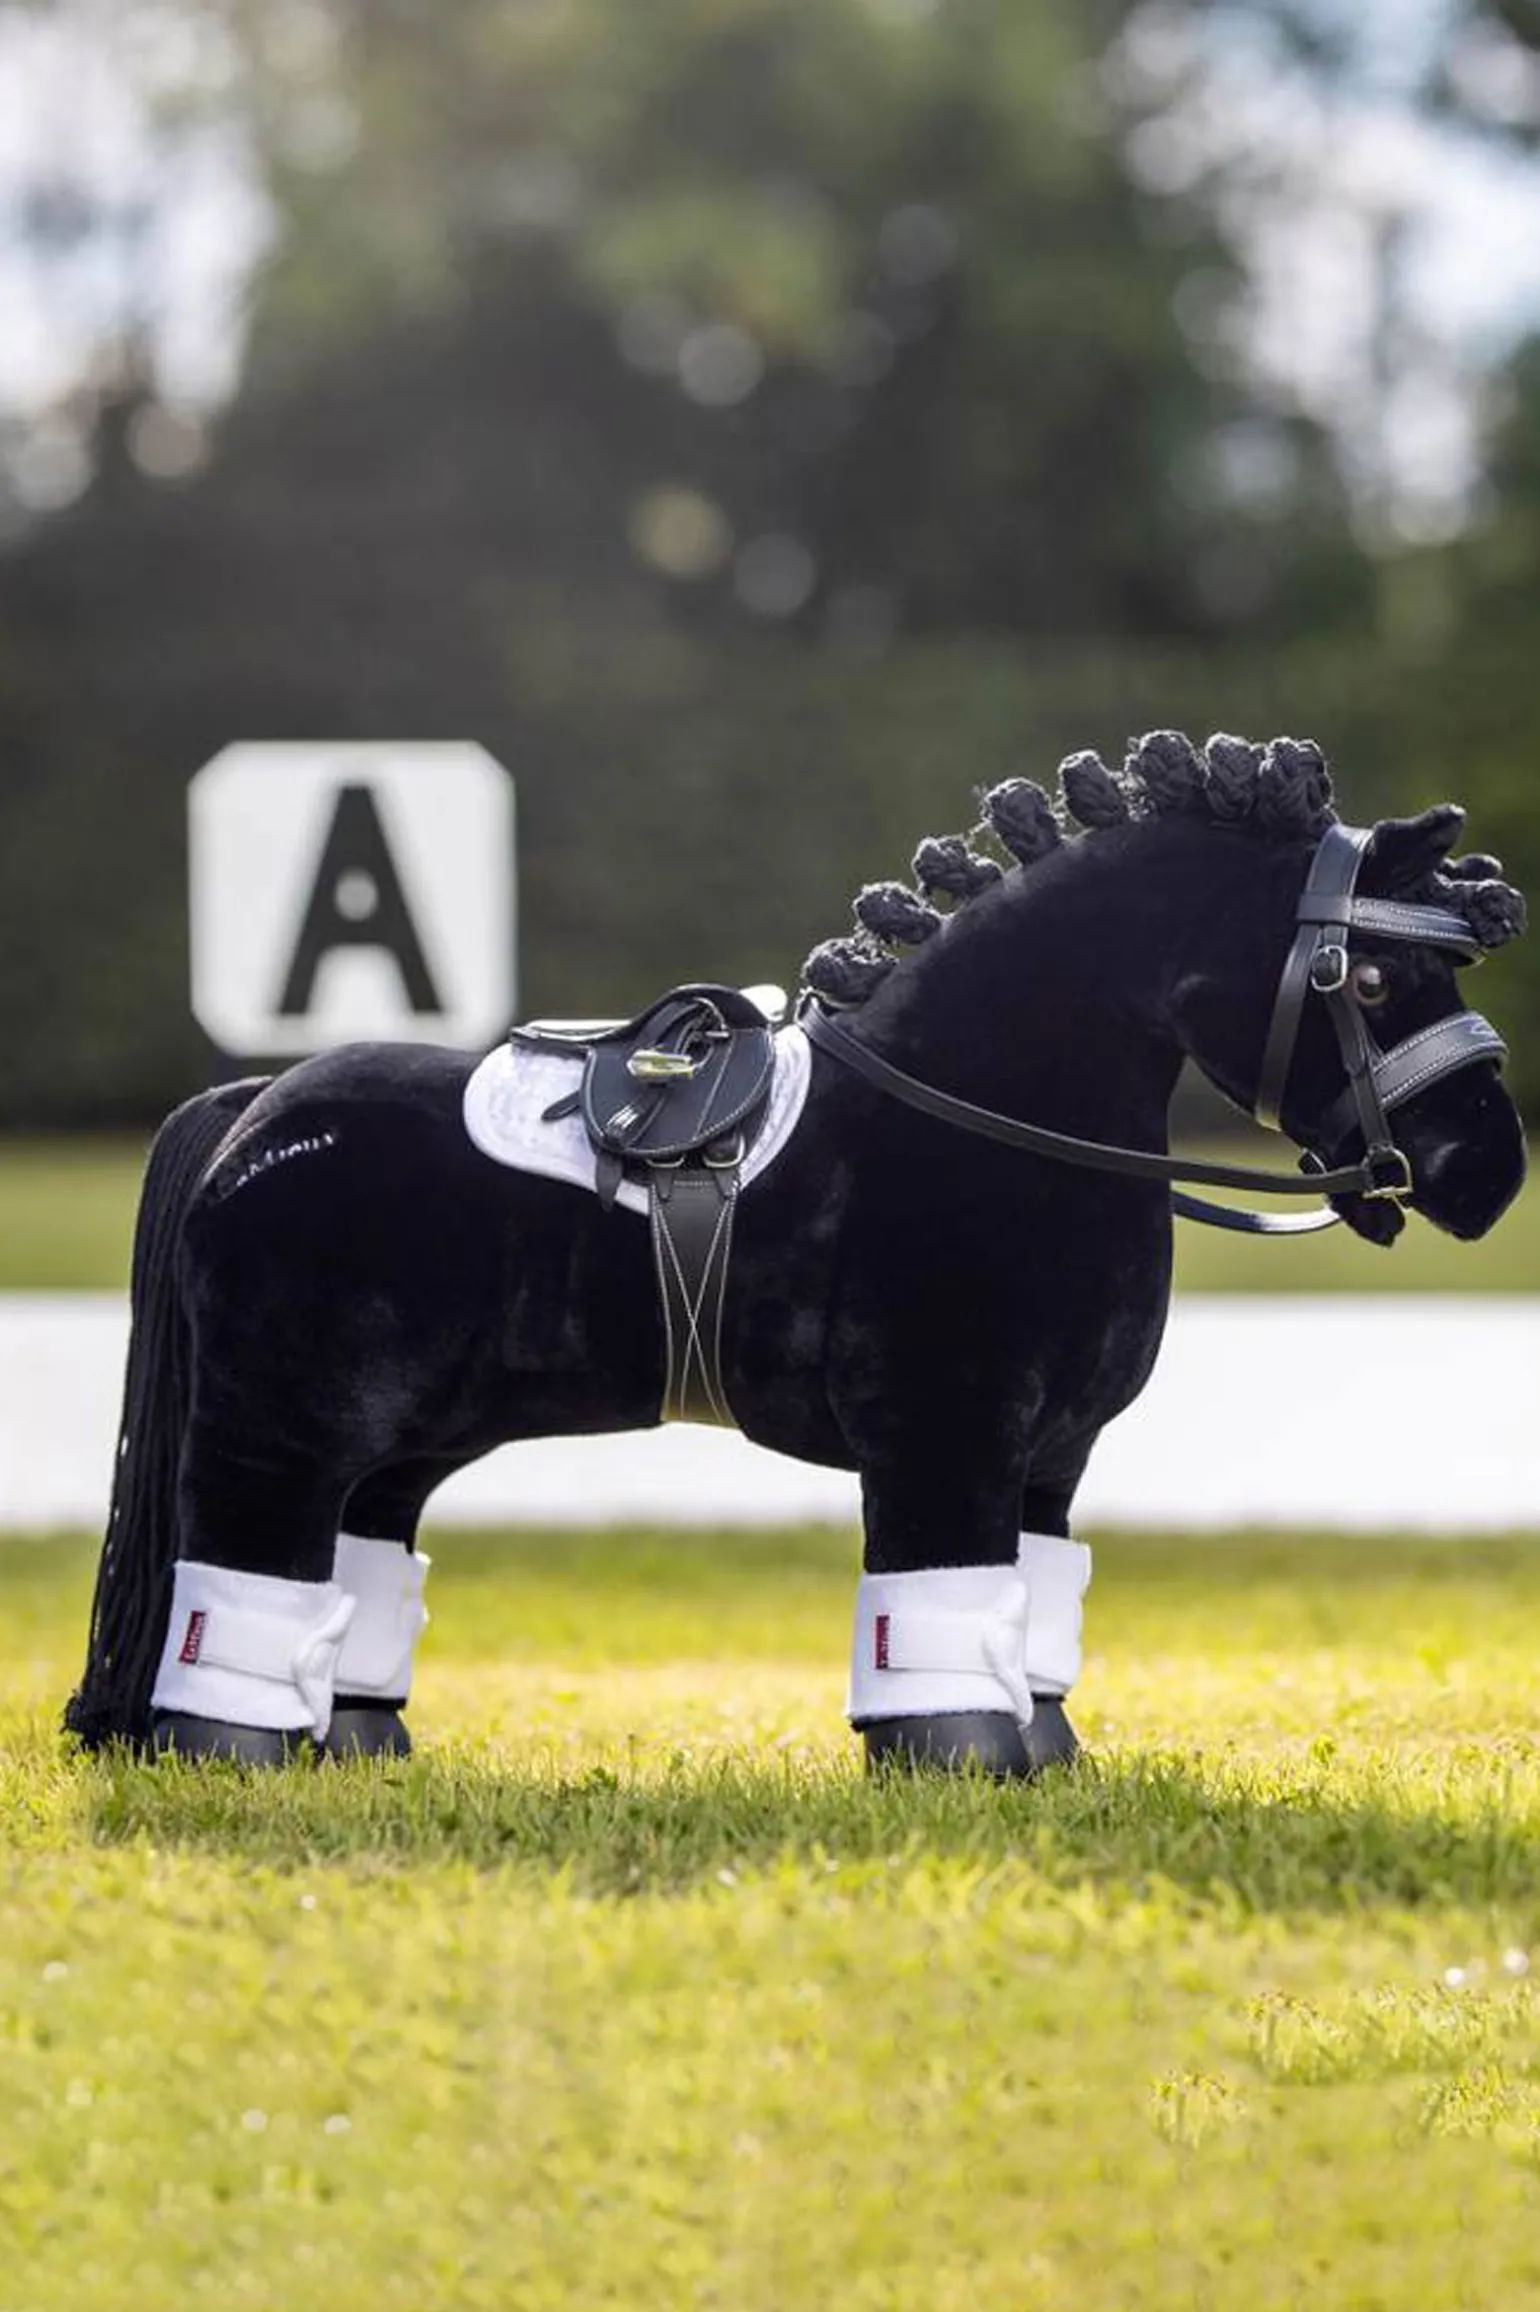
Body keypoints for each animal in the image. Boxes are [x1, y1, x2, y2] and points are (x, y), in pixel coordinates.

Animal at [66, 730, 1527, 1776]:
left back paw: (360, 1748)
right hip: (281, 1426)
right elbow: (937, 1609)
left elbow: (1032, 1609)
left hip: (402, 1443)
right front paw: (960, 1765)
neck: (981, 1103)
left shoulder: (1049, 1459)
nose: (1488, 1171)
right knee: (241, 1573)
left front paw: (1050, 1759)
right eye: (1371, 979)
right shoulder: (945, 1435)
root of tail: (254, 1108)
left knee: (357, 1565)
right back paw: (241, 1757)